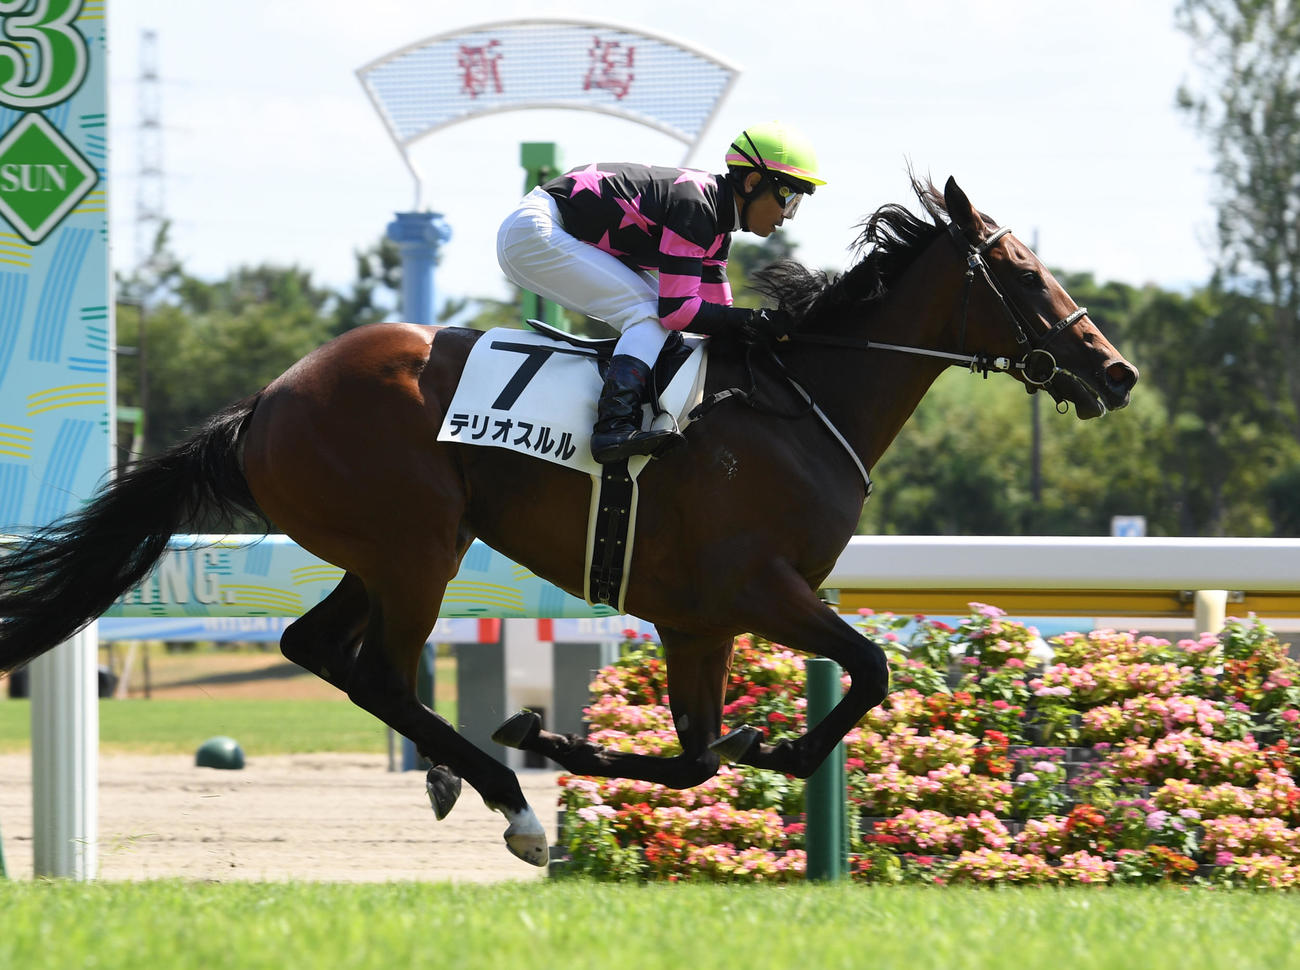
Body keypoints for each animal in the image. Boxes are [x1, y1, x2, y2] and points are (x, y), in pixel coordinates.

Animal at [0, 176, 1138, 867]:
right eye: (1025, 273)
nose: (1116, 371)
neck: (800, 402)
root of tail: (264, 404)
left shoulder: (696, 618)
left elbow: (697, 755)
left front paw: (591, 735)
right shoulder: (758, 587)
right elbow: (868, 669)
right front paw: (749, 746)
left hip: (380, 551)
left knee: (314, 646)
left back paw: (466, 778)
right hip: (418, 547)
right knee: (379, 672)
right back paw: (510, 804)